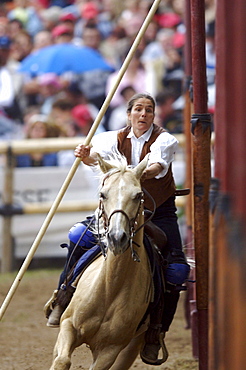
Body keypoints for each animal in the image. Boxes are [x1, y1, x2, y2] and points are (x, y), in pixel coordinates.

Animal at [49, 153, 155, 370]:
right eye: (103, 194)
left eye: (138, 195)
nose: (116, 237)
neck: (109, 290)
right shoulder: (68, 326)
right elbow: (61, 361)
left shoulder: (110, 350)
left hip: (132, 346)